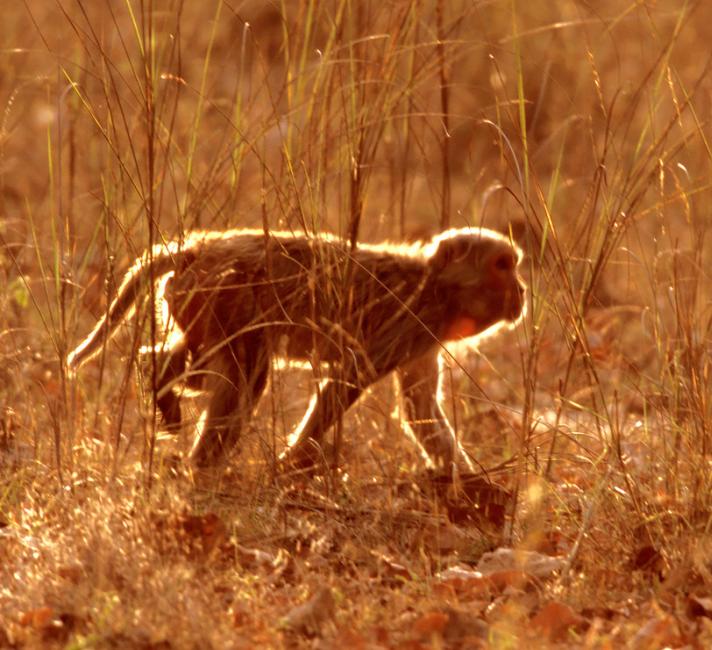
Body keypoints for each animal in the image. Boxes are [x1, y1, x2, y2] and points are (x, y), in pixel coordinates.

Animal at [68, 228, 524, 470]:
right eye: (503, 265)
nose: (522, 290)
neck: (435, 287)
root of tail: (193, 249)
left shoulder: (424, 340)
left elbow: (421, 410)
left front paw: (466, 483)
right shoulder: (412, 322)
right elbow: (345, 384)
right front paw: (290, 464)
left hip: (195, 304)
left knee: (197, 365)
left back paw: (158, 376)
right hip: (220, 296)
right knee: (246, 375)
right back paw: (202, 464)